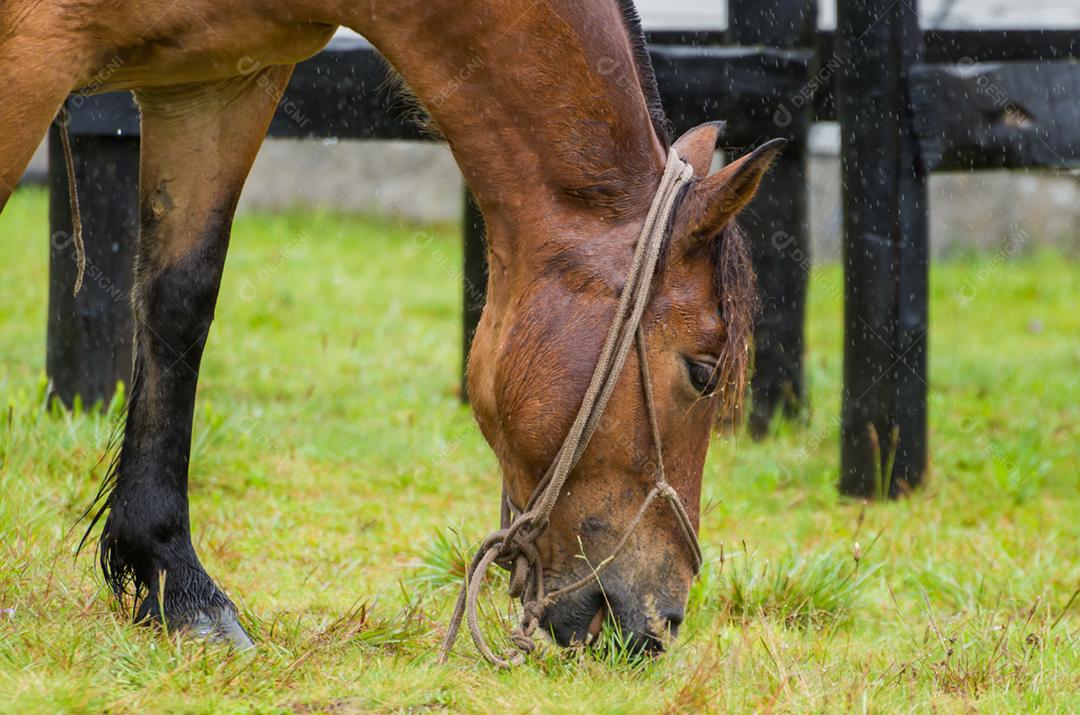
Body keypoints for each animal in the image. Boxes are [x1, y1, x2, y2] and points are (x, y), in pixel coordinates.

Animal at [0, 0, 782, 656]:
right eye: (704, 371)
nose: (662, 622)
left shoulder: (219, 84)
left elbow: (178, 305)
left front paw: (177, 582)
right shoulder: (32, 57)